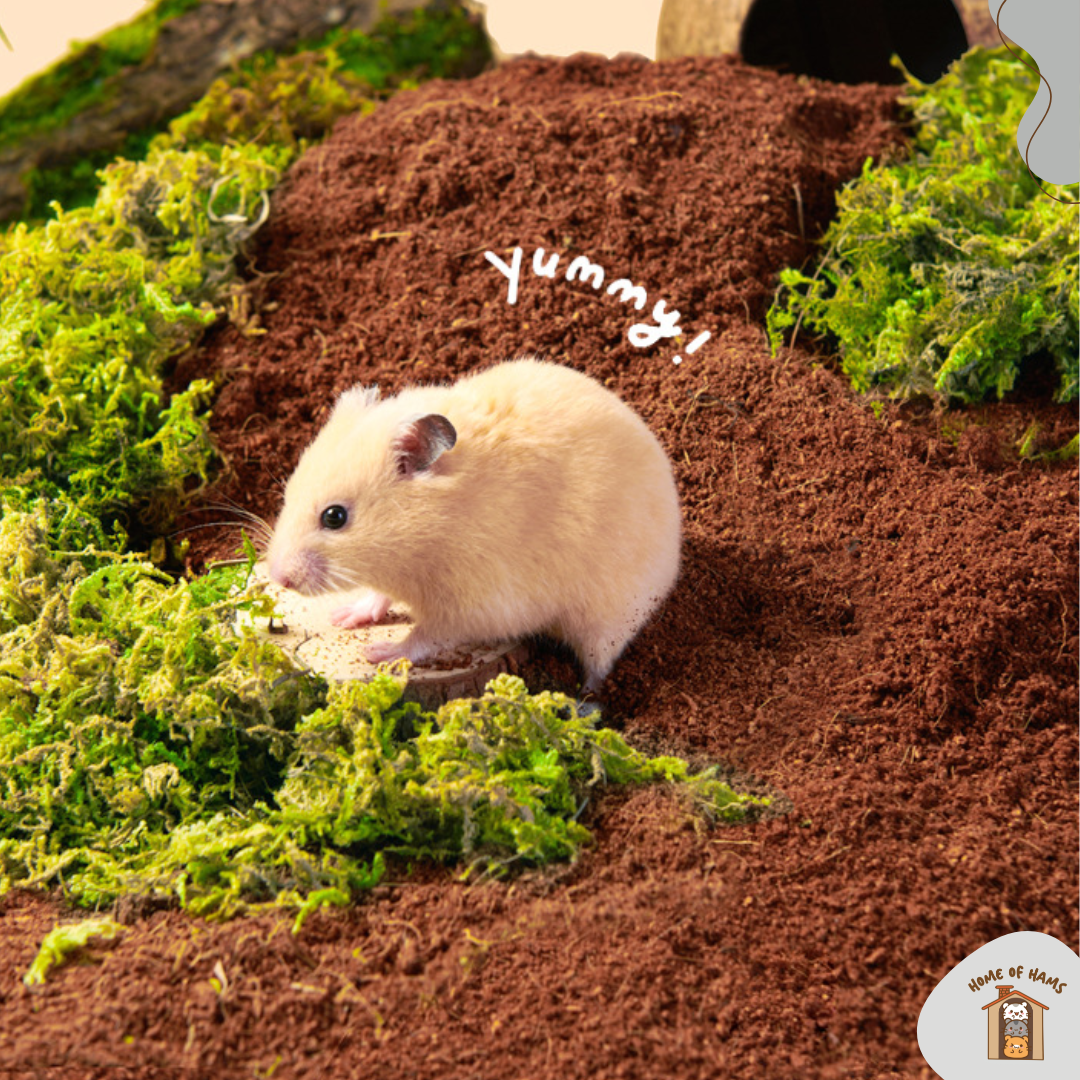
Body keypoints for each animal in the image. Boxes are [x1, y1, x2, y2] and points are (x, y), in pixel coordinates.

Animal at [266, 357, 682, 691]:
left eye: (334, 517)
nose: (278, 578)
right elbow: (380, 597)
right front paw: (345, 618)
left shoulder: (472, 608)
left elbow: (424, 637)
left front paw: (379, 652)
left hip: (609, 619)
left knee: (600, 666)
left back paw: (582, 702)